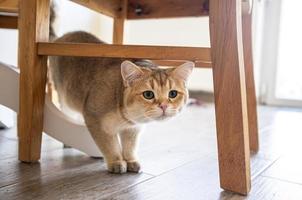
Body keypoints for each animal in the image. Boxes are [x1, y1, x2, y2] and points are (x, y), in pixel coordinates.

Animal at [48, 11, 195, 173]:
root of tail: (61, 37)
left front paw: (131, 161)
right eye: (148, 94)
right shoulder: (96, 120)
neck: (124, 115)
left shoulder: (132, 129)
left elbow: (130, 146)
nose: (163, 106)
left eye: (172, 94)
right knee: (66, 110)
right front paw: (116, 162)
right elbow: (109, 145)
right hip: (64, 96)